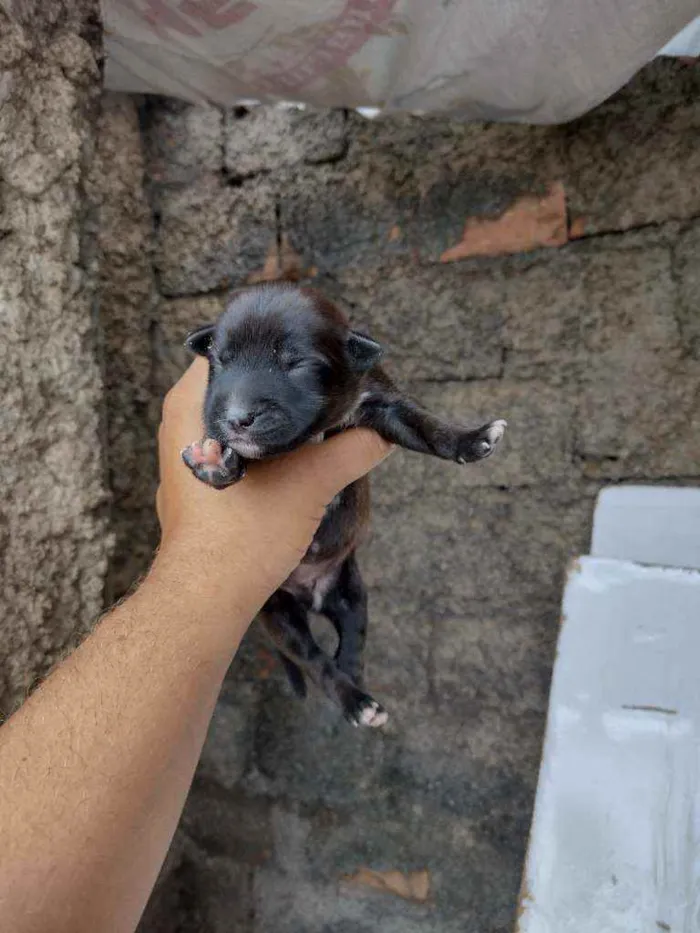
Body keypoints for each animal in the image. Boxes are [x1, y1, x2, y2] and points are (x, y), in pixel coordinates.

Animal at [183, 284, 506, 728]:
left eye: (296, 364)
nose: (236, 418)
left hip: (352, 592)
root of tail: (312, 596)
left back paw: (359, 688)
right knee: (315, 661)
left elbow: (425, 426)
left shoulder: (380, 397)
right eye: (219, 361)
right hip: (279, 614)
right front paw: (216, 464)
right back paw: (354, 700)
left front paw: (471, 439)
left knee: (352, 640)